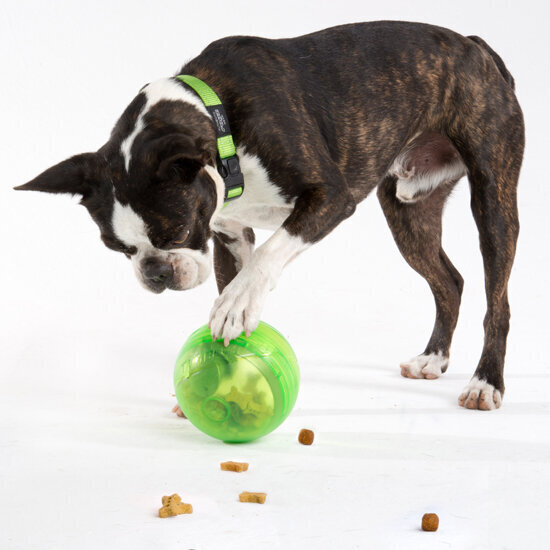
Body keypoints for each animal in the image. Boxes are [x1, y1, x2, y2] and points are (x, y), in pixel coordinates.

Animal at [14, 21, 528, 410]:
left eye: (178, 232)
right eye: (119, 250)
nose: (156, 271)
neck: (220, 117)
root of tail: (475, 46)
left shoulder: (329, 197)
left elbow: (267, 258)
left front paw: (238, 304)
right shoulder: (227, 234)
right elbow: (235, 287)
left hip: (493, 198)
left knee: (498, 300)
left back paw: (485, 382)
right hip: (408, 211)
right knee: (448, 281)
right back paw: (433, 359)